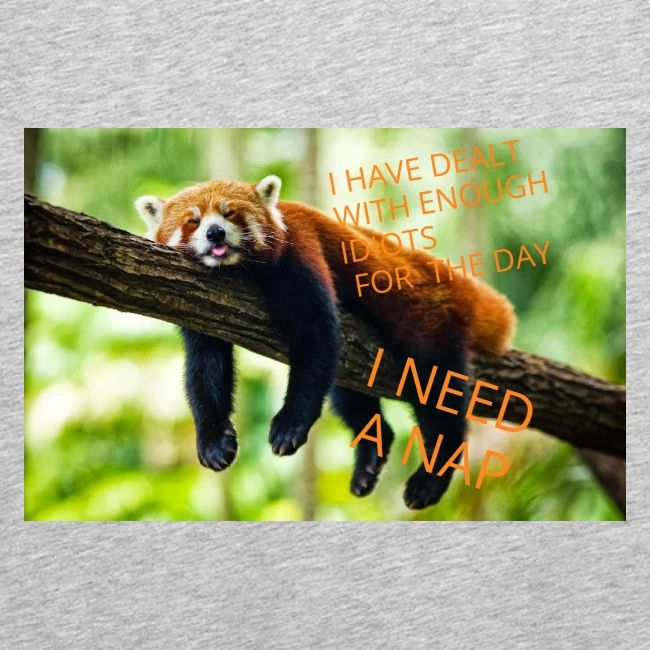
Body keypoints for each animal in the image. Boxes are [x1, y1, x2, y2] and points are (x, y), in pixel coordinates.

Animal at [136, 175, 515, 509]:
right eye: (193, 221)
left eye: (230, 214)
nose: (215, 232)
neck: (239, 270)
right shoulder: (200, 304)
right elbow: (205, 367)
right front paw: (213, 441)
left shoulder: (300, 252)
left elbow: (316, 336)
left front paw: (290, 425)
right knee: (348, 395)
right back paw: (370, 458)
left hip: (428, 322)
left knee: (436, 392)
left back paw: (431, 477)